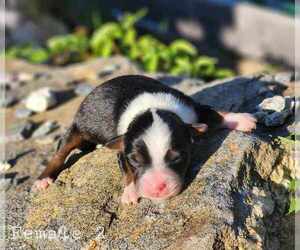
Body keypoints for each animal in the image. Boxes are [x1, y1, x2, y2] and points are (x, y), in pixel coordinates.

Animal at [34, 75, 256, 204]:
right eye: (135, 160)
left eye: (177, 157)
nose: (157, 189)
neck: (153, 107)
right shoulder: (123, 149)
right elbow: (127, 172)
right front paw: (130, 193)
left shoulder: (191, 107)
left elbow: (213, 113)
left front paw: (241, 119)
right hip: (78, 127)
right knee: (61, 151)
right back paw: (43, 179)